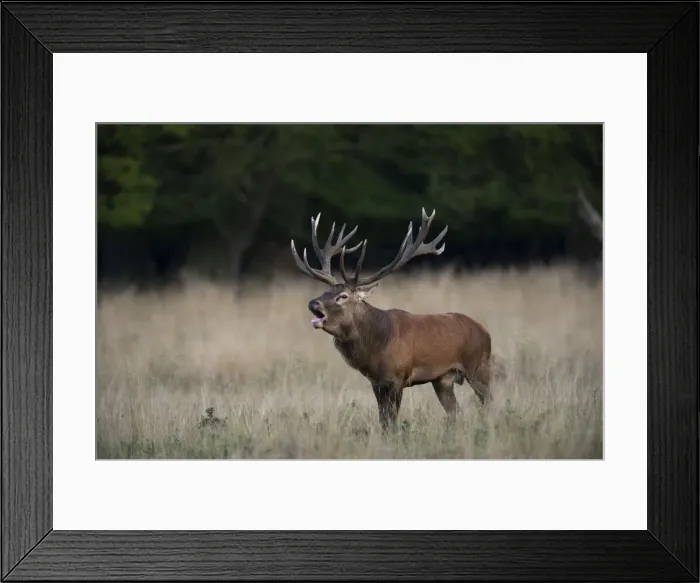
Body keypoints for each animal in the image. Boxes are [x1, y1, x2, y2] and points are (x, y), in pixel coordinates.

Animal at [290, 208, 503, 432]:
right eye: (325, 292)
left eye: (343, 296)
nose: (313, 303)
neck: (375, 346)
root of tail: (484, 330)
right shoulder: (376, 382)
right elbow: (383, 421)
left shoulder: (397, 378)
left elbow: (391, 422)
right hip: (443, 379)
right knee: (456, 412)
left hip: (478, 367)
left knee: (489, 404)